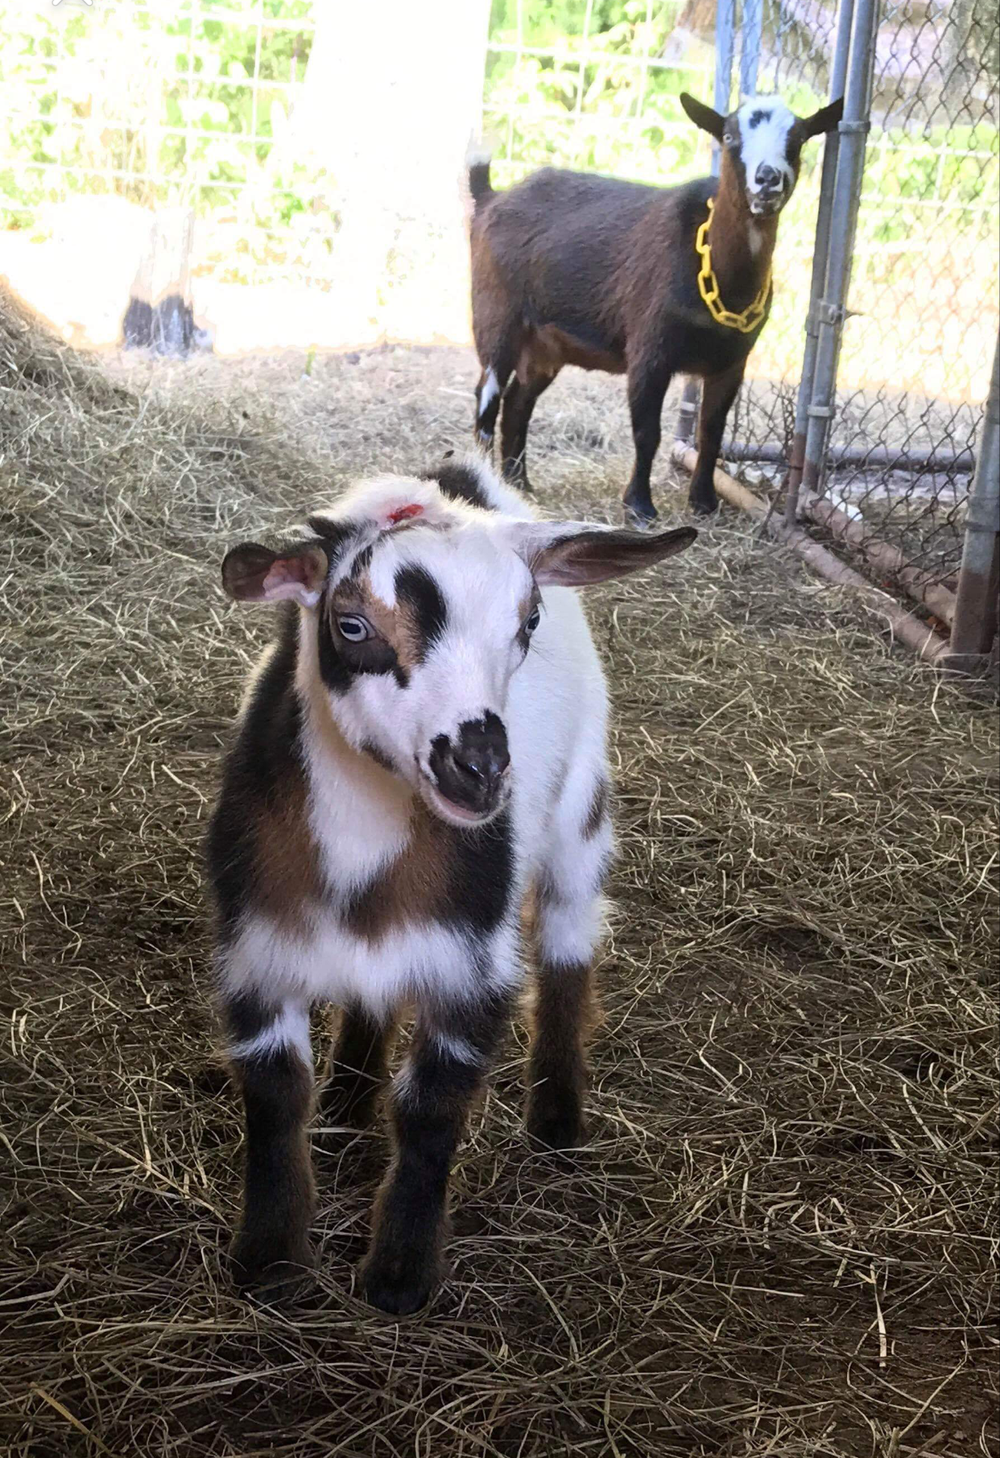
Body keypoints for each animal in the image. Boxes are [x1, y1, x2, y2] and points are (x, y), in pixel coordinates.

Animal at [206, 456, 696, 1314]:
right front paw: (270, 1261)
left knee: (569, 944)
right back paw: (346, 1114)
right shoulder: (258, 946)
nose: (478, 767)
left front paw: (399, 1275)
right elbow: (273, 1094)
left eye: (527, 622)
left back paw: (556, 1119)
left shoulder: (469, 960)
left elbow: (432, 1107)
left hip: (582, 814)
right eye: (352, 626)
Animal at [468, 91, 843, 520]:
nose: (768, 179)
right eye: (730, 136)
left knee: (518, 400)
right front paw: (639, 506)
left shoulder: (732, 361)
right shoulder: (650, 349)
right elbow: (648, 432)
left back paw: (518, 482)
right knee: (488, 396)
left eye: (797, 139)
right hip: (497, 315)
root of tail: (491, 198)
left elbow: (711, 432)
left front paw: (704, 502)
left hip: (546, 345)